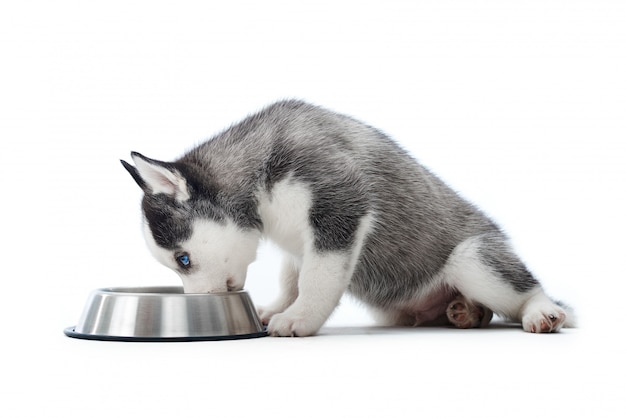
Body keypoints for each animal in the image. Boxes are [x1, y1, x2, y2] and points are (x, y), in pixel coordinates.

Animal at [119, 100, 572, 336]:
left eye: (183, 260)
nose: (200, 304)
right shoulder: (299, 244)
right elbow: (292, 278)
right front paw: (278, 307)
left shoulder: (340, 207)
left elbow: (317, 280)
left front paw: (300, 317)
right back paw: (465, 312)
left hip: (474, 259)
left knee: (524, 288)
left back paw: (539, 311)